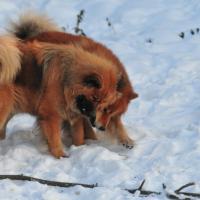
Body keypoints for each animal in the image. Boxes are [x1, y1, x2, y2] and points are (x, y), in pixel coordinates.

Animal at [10, 11, 138, 148]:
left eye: (112, 114)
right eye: (104, 109)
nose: (102, 128)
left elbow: (118, 126)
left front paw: (126, 139)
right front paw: (91, 142)